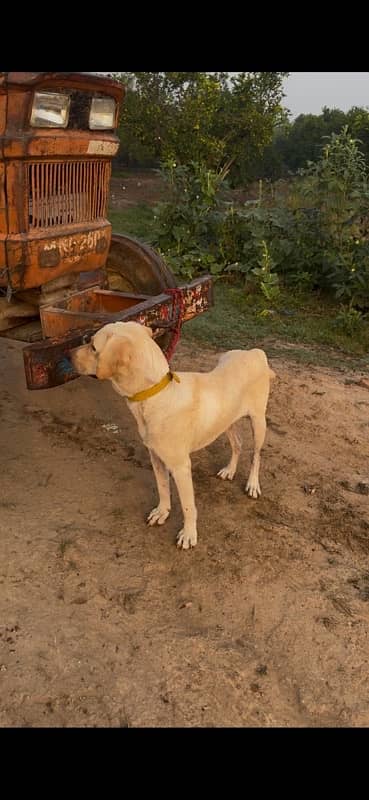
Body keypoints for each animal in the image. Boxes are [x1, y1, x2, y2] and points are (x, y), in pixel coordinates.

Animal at [71, 322, 274, 548]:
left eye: (93, 347)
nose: (68, 355)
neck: (157, 394)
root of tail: (255, 352)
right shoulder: (156, 457)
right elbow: (162, 488)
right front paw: (162, 512)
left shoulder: (181, 467)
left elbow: (188, 506)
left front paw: (189, 535)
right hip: (226, 421)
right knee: (237, 444)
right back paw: (229, 470)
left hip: (258, 422)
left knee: (256, 456)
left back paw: (253, 484)